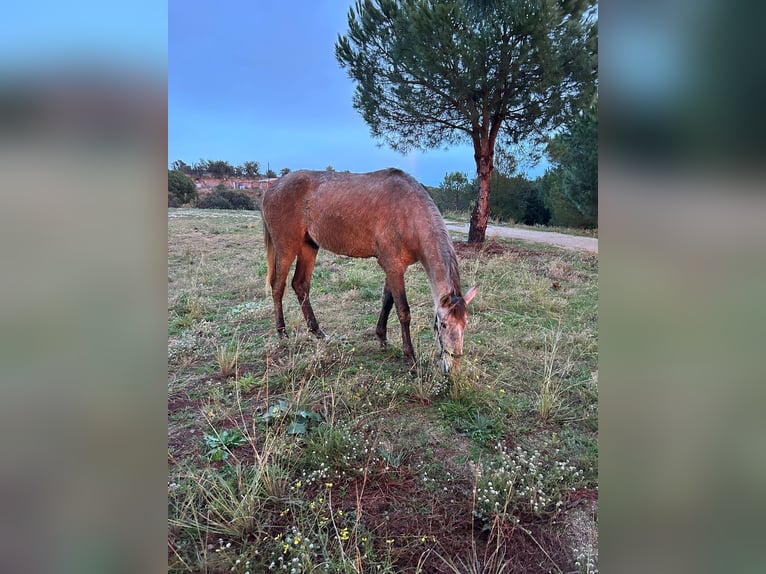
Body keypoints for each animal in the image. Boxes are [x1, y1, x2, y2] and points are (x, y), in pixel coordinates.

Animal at [261, 168, 477, 373]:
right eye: (443, 324)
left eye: (465, 324)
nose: (452, 368)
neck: (408, 212)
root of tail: (272, 188)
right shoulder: (393, 266)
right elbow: (403, 311)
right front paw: (410, 357)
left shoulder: (394, 268)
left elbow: (387, 302)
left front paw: (382, 338)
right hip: (287, 247)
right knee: (278, 286)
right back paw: (282, 333)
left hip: (309, 246)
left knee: (300, 285)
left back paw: (318, 332)